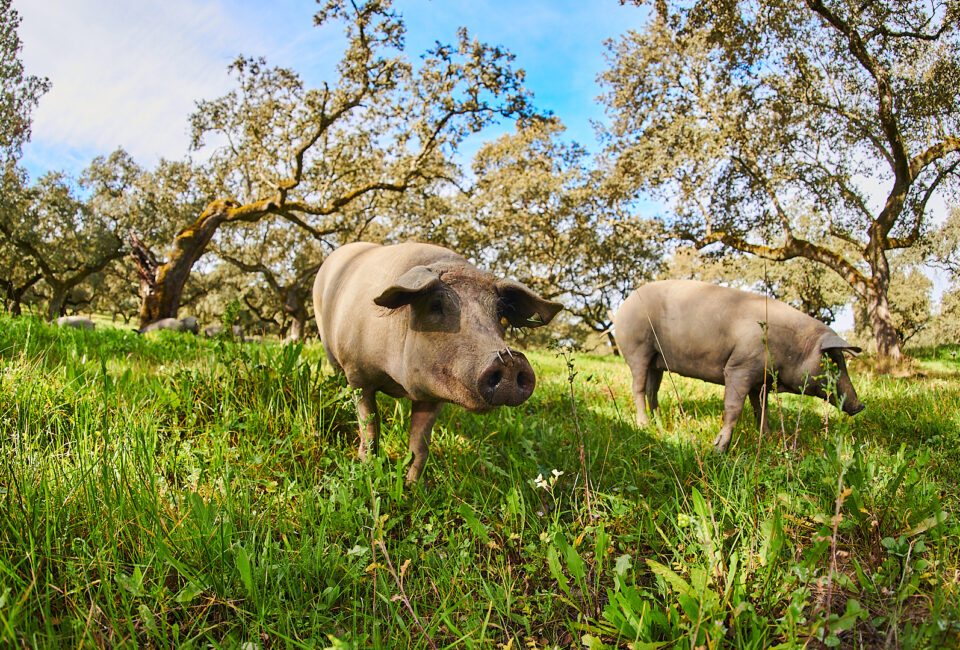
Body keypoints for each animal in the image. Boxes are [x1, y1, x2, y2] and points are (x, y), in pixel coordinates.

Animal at [314, 239, 564, 480]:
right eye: (436, 304)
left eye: (499, 312)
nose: (511, 360)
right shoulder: (358, 375)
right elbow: (369, 426)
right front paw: (367, 467)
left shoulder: (432, 395)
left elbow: (420, 444)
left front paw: (415, 486)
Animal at [612, 278, 868, 450]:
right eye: (833, 363)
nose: (860, 406)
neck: (793, 348)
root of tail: (623, 306)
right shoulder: (740, 367)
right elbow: (734, 407)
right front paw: (719, 448)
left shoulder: (761, 380)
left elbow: (761, 408)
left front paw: (768, 437)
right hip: (638, 349)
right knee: (638, 388)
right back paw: (644, 425)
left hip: (657, 360)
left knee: (652, 390)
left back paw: (660, 423)